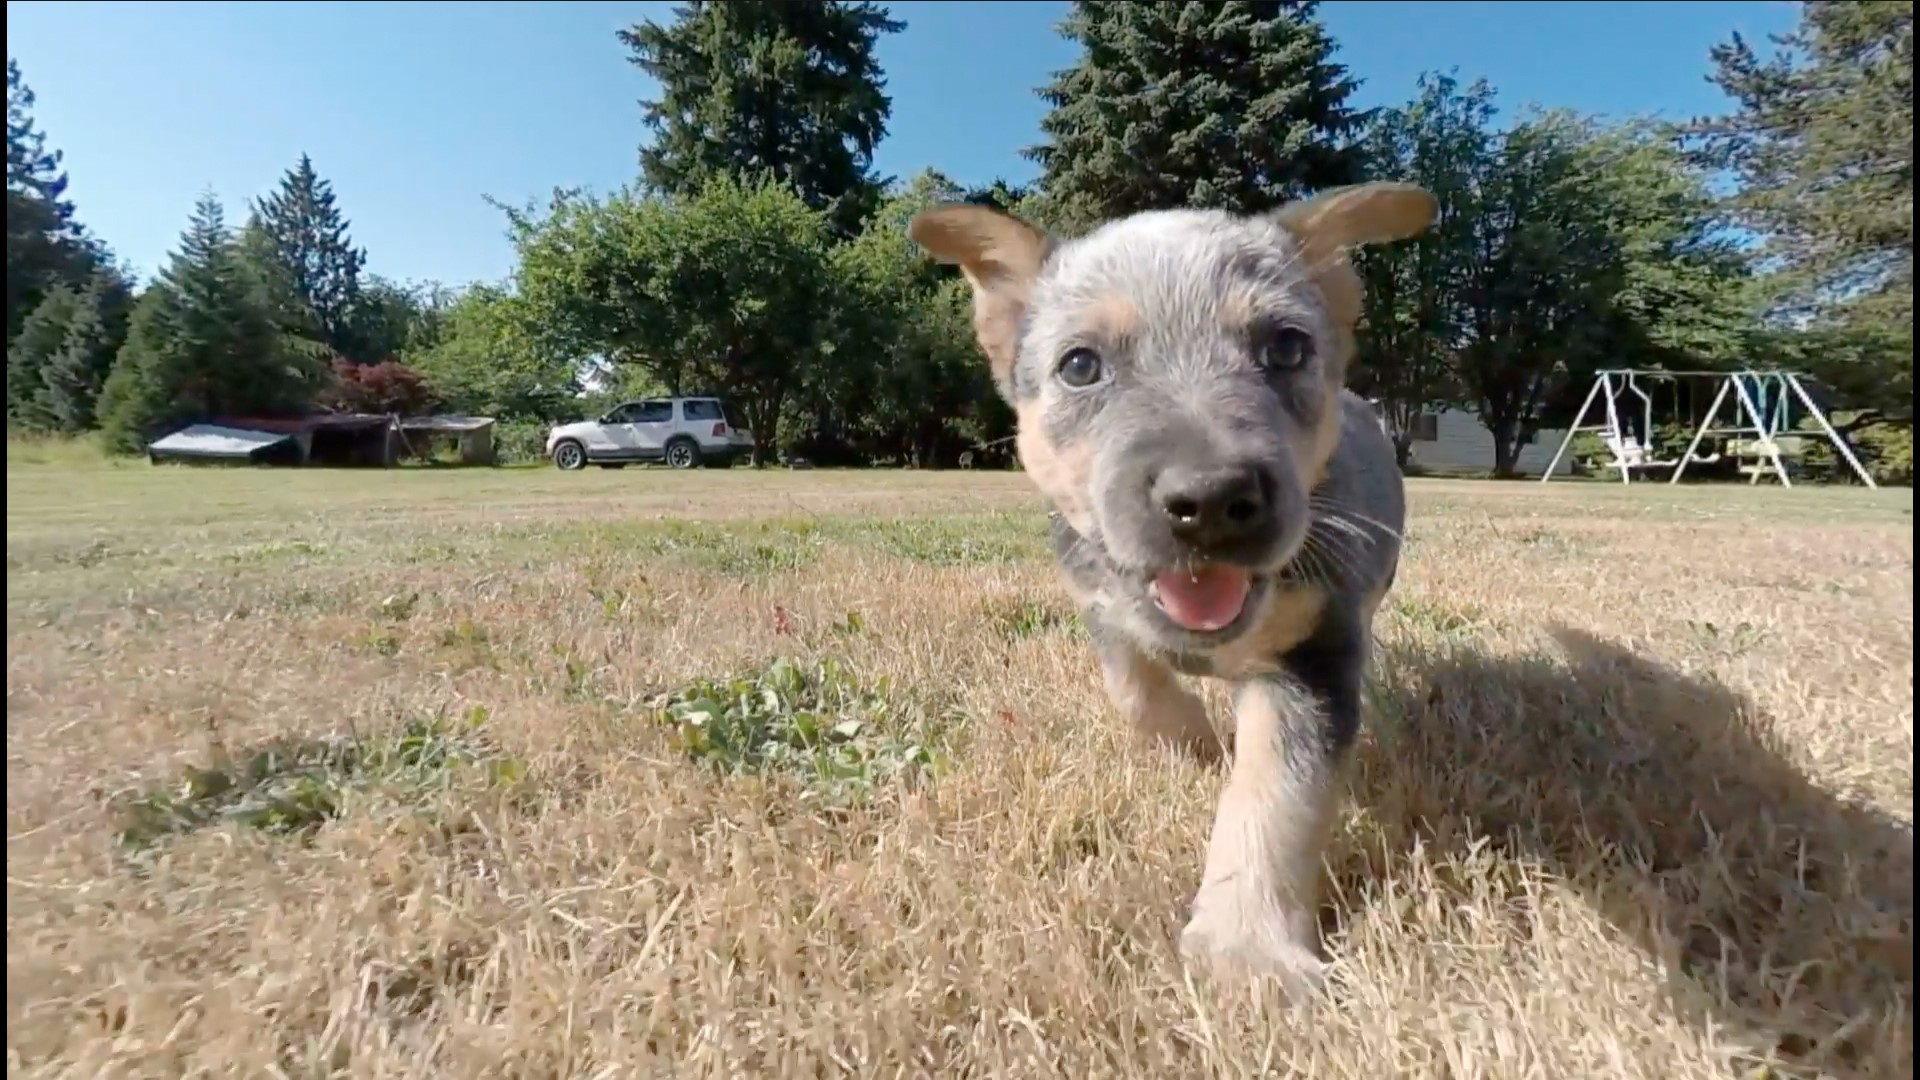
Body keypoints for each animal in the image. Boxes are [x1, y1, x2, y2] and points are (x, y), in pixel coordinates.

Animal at [906, 182, 1436, 991]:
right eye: (1080, 365)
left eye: (1286, 347)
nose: (1211, 498)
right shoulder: (1099, 597)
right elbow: (1134, 684)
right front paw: (1197, 746)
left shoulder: (1311, 652)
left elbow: (1275, 794)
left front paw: (1246, 950)